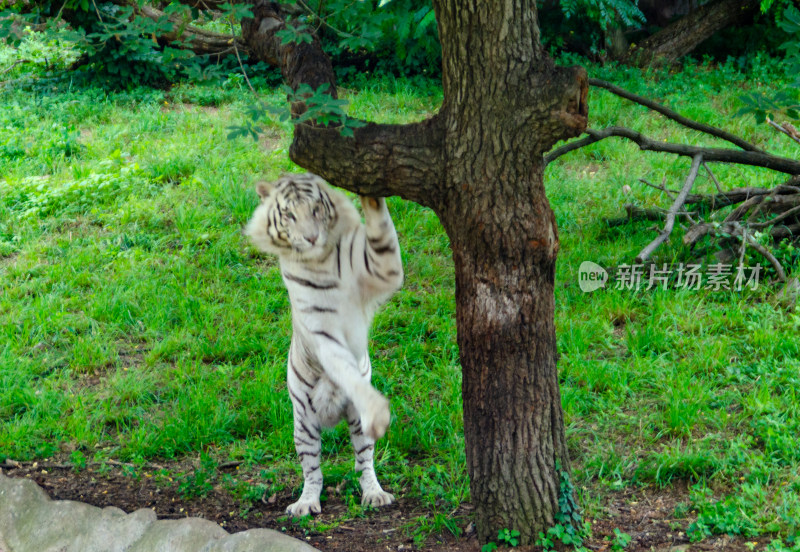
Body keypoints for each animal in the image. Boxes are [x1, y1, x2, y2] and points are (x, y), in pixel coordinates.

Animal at [244, 174, 404, 516]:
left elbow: (381, 234)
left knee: (364, 461)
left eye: (317, 209)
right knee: (312, 471)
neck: (320, 260)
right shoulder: (321, 329)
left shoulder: (378, 269)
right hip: (303, 423)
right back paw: (305, 503)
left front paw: (370, 191)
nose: (312, 237)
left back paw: (375, 494)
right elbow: (341, 363)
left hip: (356, 424)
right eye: (290, 215)